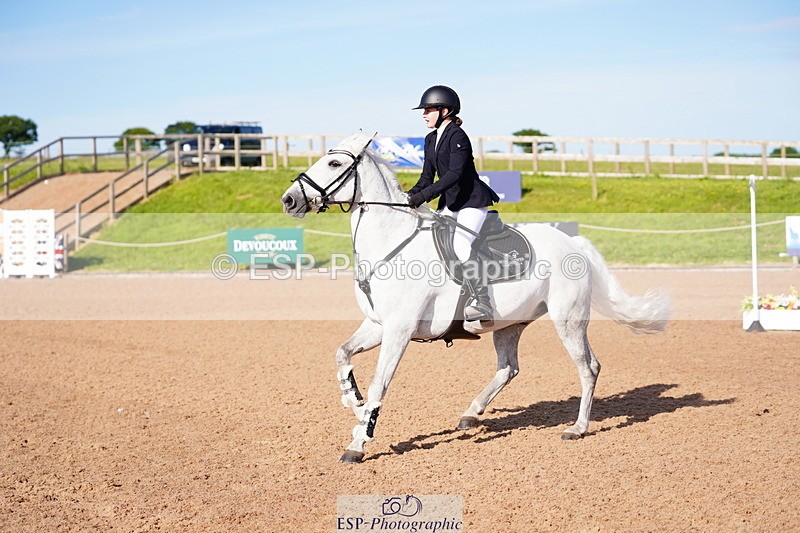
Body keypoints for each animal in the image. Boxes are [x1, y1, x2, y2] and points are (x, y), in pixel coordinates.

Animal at [281, 131, 671, 463]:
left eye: (334, 164)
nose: (289, 200)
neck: (391, 242)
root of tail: (573, 242)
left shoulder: (399, 330)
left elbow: (380, 383)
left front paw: (359, 442)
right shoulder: (377, 324)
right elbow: (342, 353)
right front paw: (354, 401)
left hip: (568, 320)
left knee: (588, 367)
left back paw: (577, 428)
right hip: (510, 323)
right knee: (508, 368)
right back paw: (471, 413)